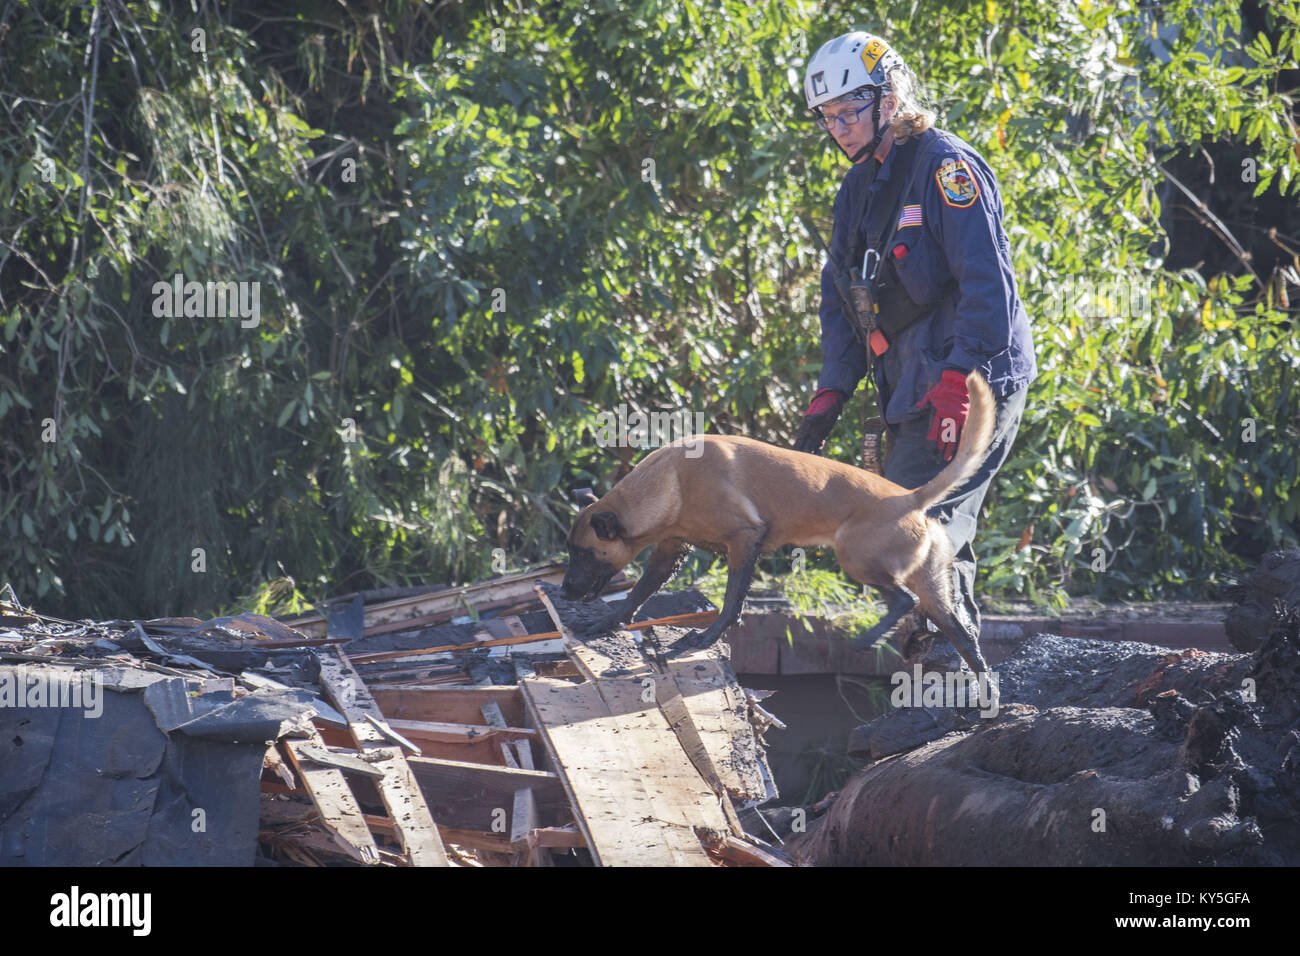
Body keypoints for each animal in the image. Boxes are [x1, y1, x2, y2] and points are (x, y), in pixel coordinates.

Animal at [559, 369, 993, 681]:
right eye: (570, 553)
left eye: (583, 554)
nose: (563, 593)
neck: (670, 480)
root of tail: (911, 498)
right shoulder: (670, 550)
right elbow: (636, 595)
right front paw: (606, 621)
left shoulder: (744, 540)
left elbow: (731, 603)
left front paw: (703, 637)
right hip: (934, 592)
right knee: (965, 639)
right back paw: (984, 700)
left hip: (856, 557)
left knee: (902, 601)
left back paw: (868, 639)